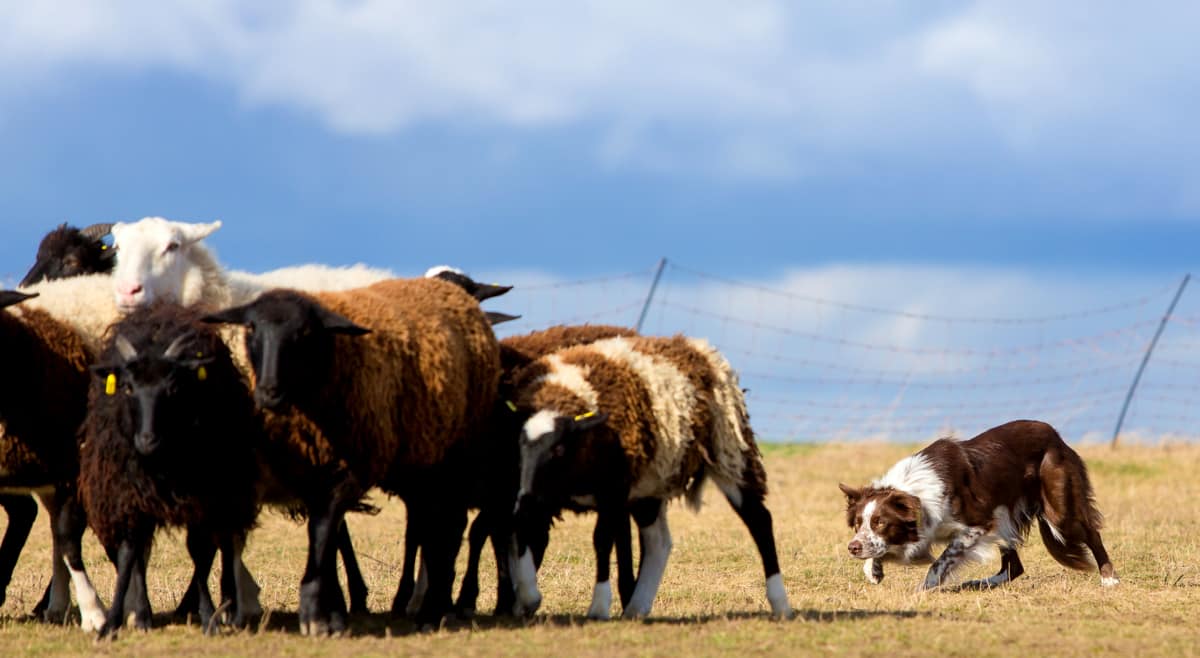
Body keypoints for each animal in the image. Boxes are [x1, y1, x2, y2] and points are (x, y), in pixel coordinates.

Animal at [80, 307, 260, 638]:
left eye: (173, 388)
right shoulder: (128, 497)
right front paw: (116, 621)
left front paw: (208, 616)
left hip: (230, 492)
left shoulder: (203, 498)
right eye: (127, 387)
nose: (146, 440)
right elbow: (129, 554)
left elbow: (199, 553)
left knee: (223, 545)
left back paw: (228, 609)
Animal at [202, 276, 501, 633]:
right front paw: (332, 611)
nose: (268, 393)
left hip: (454, 458)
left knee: (447, 528)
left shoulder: (347, 472)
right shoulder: (308, 476)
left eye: (304, 332)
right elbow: (328, 539)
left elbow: (323, 534)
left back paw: (435, 609)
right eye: (251, 328)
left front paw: (315, 613)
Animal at [508, 336, 796, 619]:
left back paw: (780, 603)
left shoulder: (613, 490)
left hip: (729, 453)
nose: (526, 497)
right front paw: (527, 597)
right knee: (658, 541)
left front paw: (599, 606)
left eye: (558, 449)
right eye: (521, 445)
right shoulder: (544, 491)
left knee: (759, 521)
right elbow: (523, 529)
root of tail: (698, 345)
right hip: (650, 483)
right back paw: (637, 606)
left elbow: (601, 540)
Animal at [840, 417, 1118, 593]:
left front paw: (926, 586)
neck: (915, 491)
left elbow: (942, 559)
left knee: (1092, 534)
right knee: (1014, 567)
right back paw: (978, 584)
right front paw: (873, 570)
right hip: (1007, 518)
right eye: (857, 524)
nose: (852, 548)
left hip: (1057, 511)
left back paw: (1109, 579)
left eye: (881, 522)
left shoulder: (979, 524)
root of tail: (1055, 435)